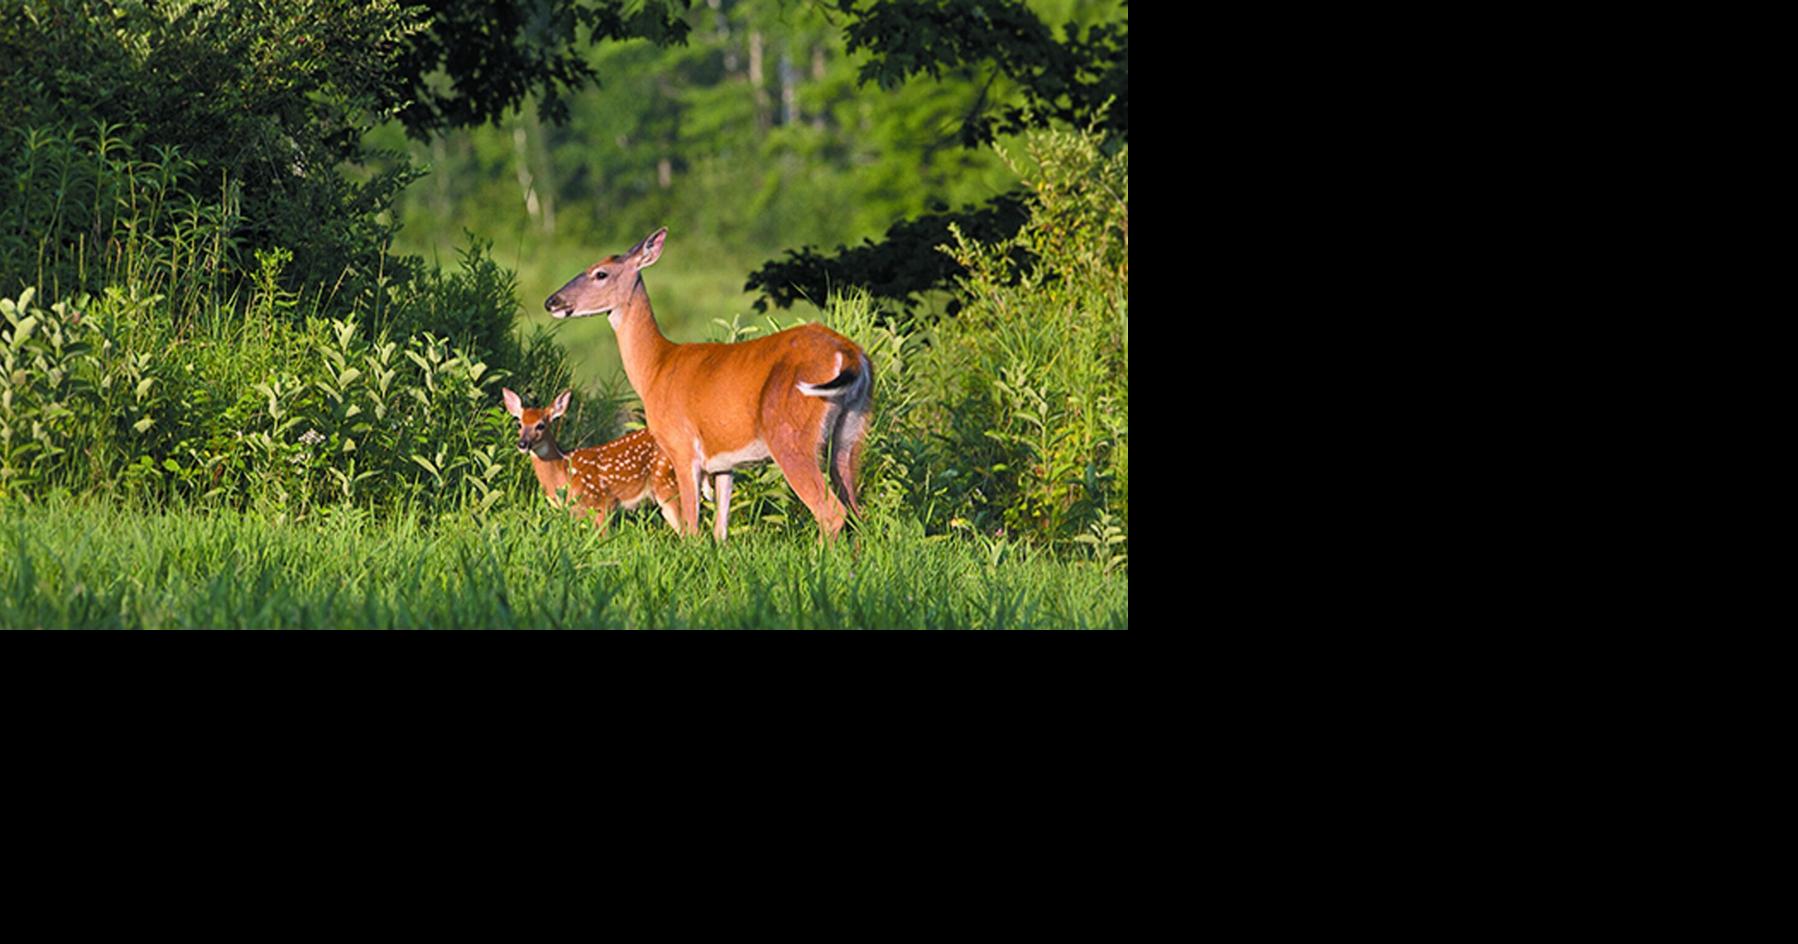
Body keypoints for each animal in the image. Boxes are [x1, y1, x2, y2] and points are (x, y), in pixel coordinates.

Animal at [501, 387, 690, 534]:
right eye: (519, 424)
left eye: (540, 425)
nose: (522, 444)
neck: (564, 472)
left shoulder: (602, 501)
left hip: (667, 483)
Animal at [543, 227, 871, 542]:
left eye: (600, 273)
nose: (552, 301)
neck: (656, 368)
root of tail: (850, 355)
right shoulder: (723, 461)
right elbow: (720, 530)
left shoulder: (681, 445)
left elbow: (691, 528)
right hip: (851, 431)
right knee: (856, 511)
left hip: (790, 433)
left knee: (831, 512)